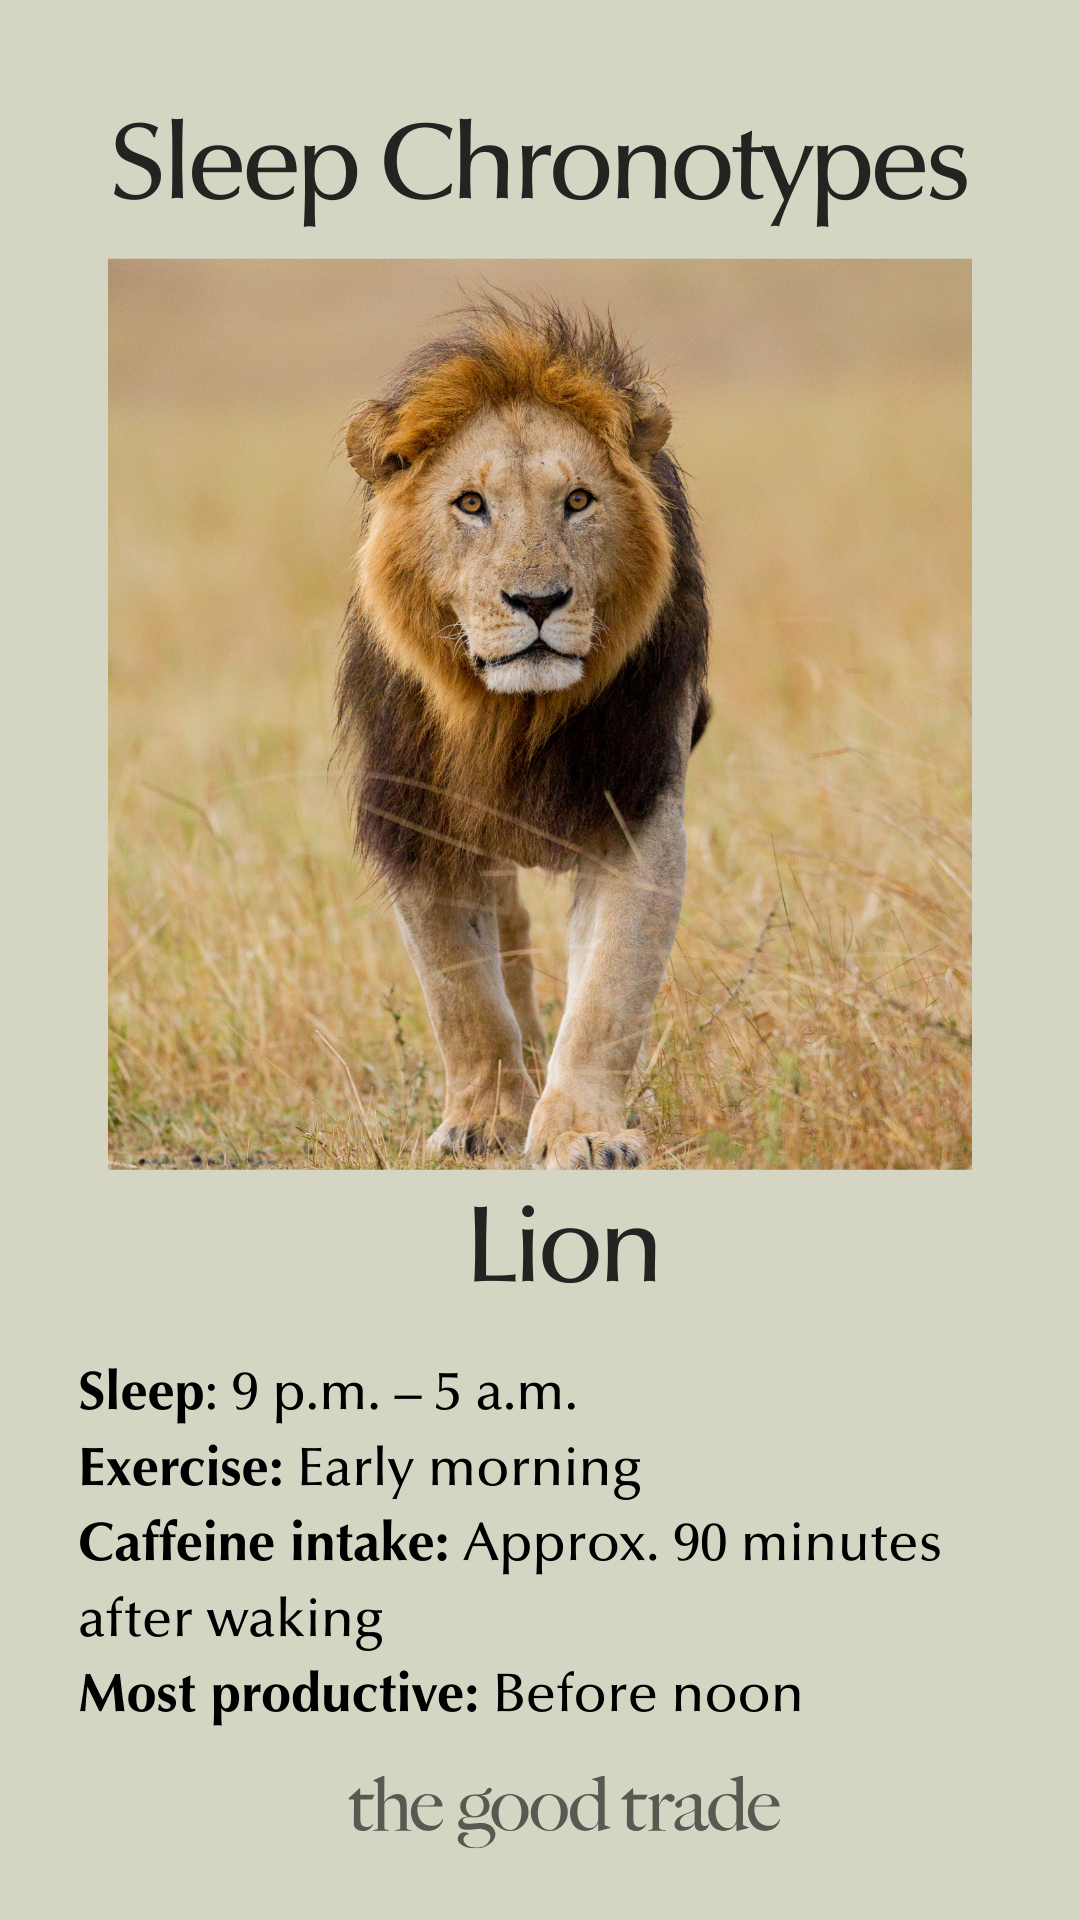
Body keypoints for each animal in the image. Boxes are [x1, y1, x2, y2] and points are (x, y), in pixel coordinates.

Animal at [337, 298, 709, 1168]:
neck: (510, 717)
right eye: (471, 504)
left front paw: (583, 1130)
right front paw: (483, 1120)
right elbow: (460, 993)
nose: (536, 601)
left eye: (577, 500)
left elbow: (607, 992)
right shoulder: (417, 822)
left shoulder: (636, 813)